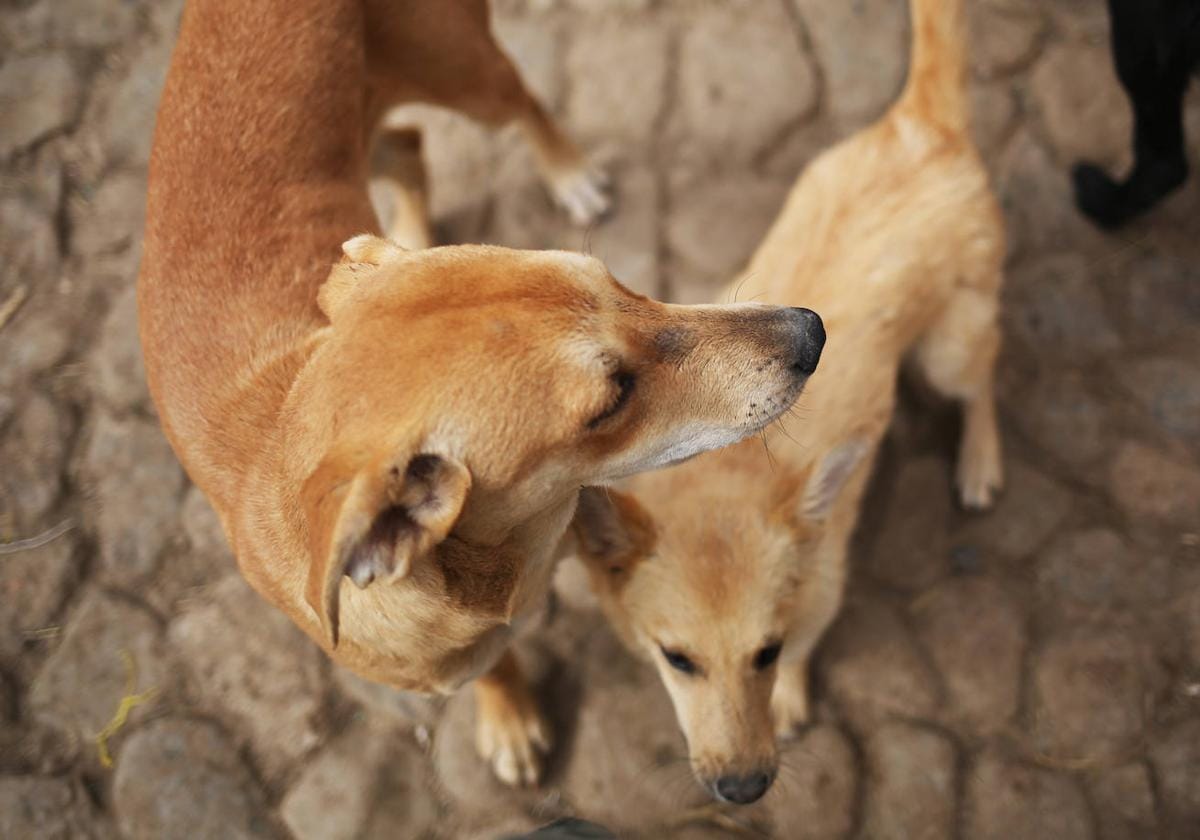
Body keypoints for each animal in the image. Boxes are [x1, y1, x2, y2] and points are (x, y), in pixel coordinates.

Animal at [133, 0, 825, 787]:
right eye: (610, 403)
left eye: (619, 282)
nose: (810, 331)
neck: (506, 556)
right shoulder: (459, 655)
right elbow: (494, 666)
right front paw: (510, 717)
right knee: (406, 145)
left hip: (465, 72)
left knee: (515, 102)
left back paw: (567, 174)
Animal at [571, 0, 1003, 801]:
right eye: (678, 660)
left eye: (765, 653)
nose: (742, 792)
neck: (721, 472)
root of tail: (917, 121)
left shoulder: (822, 591)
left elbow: (808, 647)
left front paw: (794, 698)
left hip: (950, 348)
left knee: (983, 379)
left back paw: (981, 460)